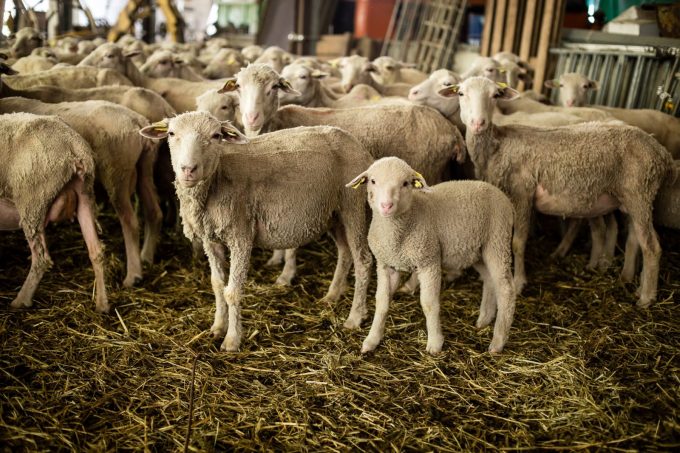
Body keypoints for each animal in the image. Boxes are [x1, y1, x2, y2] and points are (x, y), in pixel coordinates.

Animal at [0, 97, 163, 288]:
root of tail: (138, 120)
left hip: (116, 171)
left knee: (130, 222)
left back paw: (133, 276)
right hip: (145, 165)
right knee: (154, 211)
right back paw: (147, 257)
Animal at [0, 112, 107, 314]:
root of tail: (74, 144)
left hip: (33, 199)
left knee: (41, 259)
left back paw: (20, 301)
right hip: (84, 192)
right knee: (96, 250)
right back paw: (102, 304)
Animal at [137, 111, 372, 352]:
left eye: (216, 135)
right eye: (171, 133)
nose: (188, 169)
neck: (218, 177)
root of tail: (356, 143)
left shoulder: (241, 235)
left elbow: (232, 291)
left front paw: (232, 340)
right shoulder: (210, 239)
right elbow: (217, 285)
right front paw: (217, 327)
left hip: (353, 204)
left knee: (362, 259)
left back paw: (354, 317)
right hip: (333, 213)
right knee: (345, 252)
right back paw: (332, 295)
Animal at [346, 157, 516, 354]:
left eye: (405, 183)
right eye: (373, 181)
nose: (386, 206)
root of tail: (505, 198)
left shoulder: (429, 260)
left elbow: (429, 304)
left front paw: (435, 343)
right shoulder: (386, 264)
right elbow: (381, 303)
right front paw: (371, 340)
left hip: (498, 241)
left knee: (506, 289)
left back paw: (498, 341)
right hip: (478, 250)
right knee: (490, 280)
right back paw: (484, 319)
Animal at [440, 77, 676, 308]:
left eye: (495, 95)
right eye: (461, 93)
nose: (478, 123)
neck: (497, 145)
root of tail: (661, 153)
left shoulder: (522, 192)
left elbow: (518, 243)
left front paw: (519, 283)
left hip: (640, 194)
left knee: (652, 246)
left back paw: (646, 298)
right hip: (630, 198)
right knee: (635, 238)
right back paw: (630, 280)